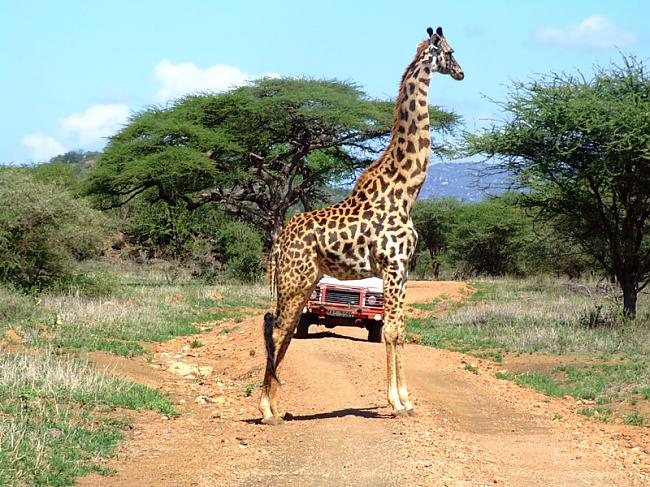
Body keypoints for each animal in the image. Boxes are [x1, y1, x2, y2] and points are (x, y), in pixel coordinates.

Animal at [258, 26, 460, 426]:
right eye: (449, 51)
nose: (461, 72)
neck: (406, 191)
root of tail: (279, 240)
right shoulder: (393, 264)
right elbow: (393, 331)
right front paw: (398, 403)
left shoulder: (404, 268)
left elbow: (399, 329)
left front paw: (405, 400)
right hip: (294, 279)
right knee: (279, 328)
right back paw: (265, 410)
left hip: (304, 281)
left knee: (284, 329)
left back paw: (274, 406)